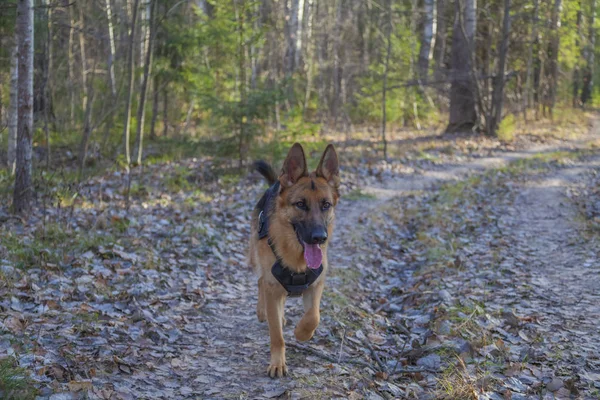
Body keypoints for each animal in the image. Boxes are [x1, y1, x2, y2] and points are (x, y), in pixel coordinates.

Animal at [248, 144, 340, 378]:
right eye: (300, 204)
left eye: (326, 205)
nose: (319, 237)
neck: (297, 256)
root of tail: (275, 184)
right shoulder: (273, 288)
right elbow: (277, 336)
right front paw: (277, 363)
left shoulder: (316, 285)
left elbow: (313, 316)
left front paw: (302, 333)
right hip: (258, 260)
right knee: (260, 282)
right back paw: (263, 311)